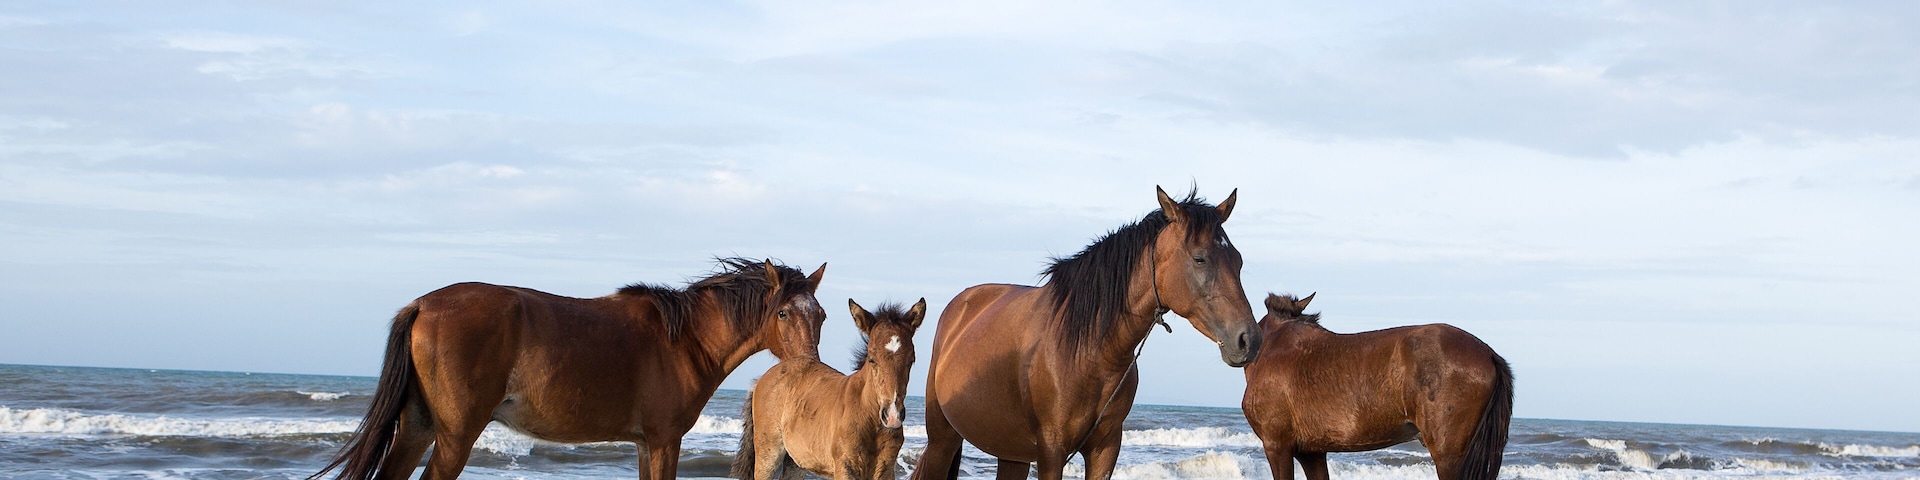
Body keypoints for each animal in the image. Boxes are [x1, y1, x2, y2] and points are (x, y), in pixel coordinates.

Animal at [311, 258, 829, 480]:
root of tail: (422, 304)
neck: (683, 340)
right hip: (456, 435)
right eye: (784, 313)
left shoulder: (646, 444)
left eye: (821, 315)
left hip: (418, 427)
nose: (808, 371)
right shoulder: (664, 441)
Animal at [732, 298, 928, 480]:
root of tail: (762, 379)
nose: (893, 416)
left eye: (911, 360)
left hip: (795, 460)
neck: (868, 417)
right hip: (768, 453)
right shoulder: (844, 468)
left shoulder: (885, 471)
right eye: (872, 359)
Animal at [912, 186, 1263, 480]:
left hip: (1011, 453)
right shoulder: (1051, 450)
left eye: (1238, 261)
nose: (1249, 340)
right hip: (943, 438)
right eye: (1199, 258)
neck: (1090, 352)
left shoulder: (1105, 448)